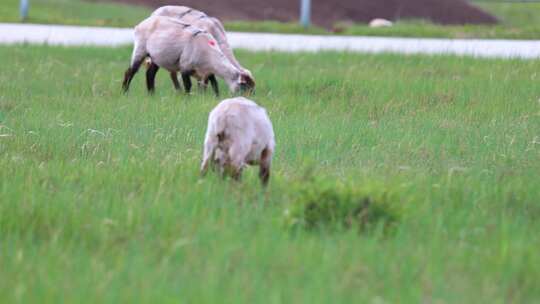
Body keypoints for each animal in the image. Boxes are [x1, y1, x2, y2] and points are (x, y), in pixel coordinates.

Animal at [122, 15, 253, 96]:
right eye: (245, 87)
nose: (249, 98)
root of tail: (141, 24)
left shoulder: (207, 72)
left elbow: (214, 84)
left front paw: (215, 98)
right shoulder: (185, 66)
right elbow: (188, 86)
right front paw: (187, 100)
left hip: (156, 57)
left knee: (150, 74)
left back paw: (151, 94)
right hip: (140, 49)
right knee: (130, 72)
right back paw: (125, 92)